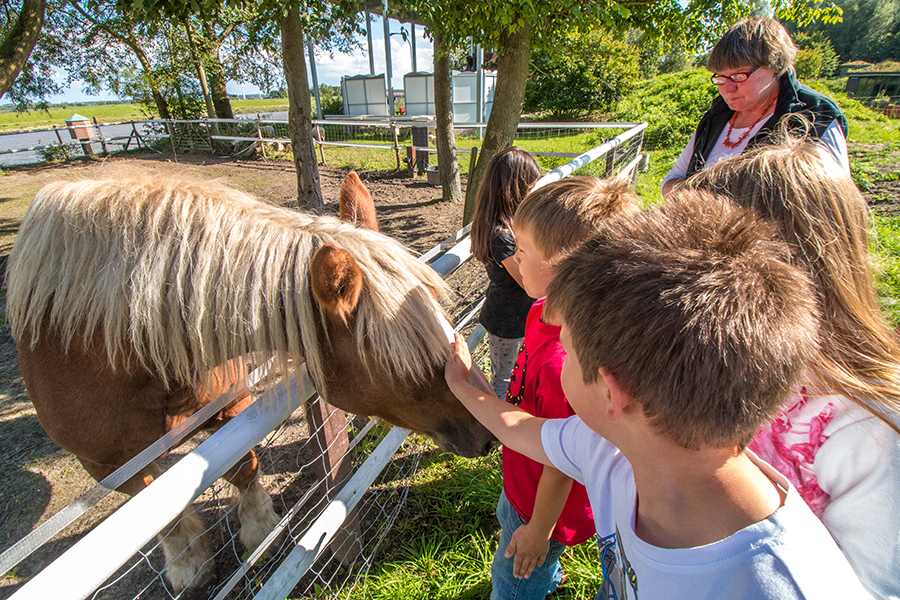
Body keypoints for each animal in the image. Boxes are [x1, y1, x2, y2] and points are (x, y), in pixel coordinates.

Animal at [7, 171, 496, 592]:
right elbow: (158, 511)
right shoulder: (106, 463)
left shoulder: (229, 407)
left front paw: (260, 527)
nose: (488, 434)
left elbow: (244, 465)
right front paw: (188, 563)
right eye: (410, 364)